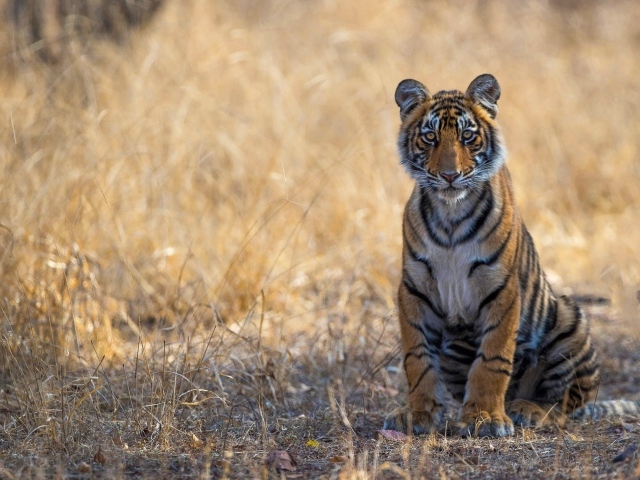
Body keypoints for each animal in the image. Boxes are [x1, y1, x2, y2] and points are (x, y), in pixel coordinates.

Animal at [383, 73, 640, 437]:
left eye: (467, 136)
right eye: (430, 137)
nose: (449, 176)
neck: (450, 215)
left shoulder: (501, 290)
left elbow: (492, 360)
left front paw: (485, 418)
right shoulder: (414, 290)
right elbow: (417, 359)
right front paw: (418, 414)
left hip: (569, 319)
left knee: (565, 406)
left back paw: (526, 409)